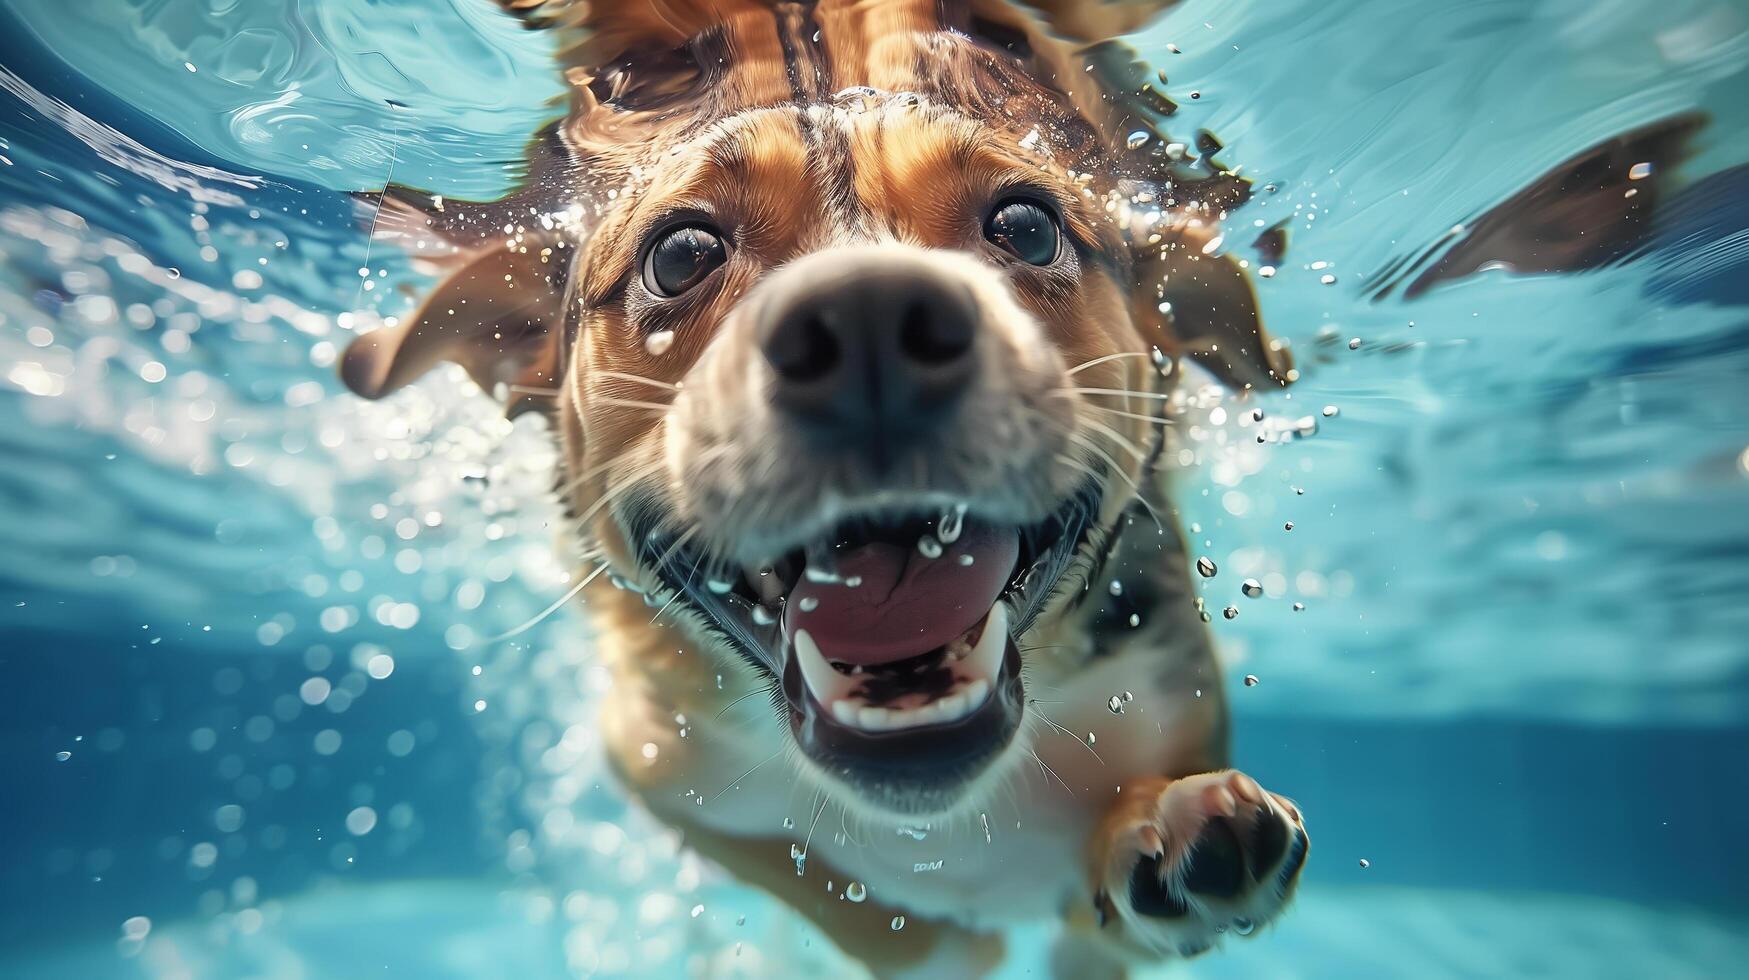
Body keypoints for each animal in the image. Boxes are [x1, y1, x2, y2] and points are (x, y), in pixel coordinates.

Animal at [341, 3, 1308, 973]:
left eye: (1027, 227)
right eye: (680, 254)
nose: (869, 320)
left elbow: (1100, 921)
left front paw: (1166, 836)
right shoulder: (661, 770)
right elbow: (854, 909)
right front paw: (954, 945)